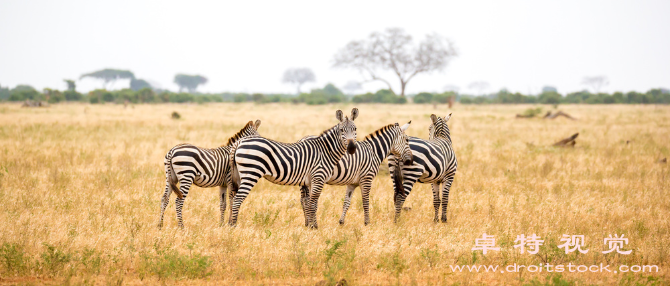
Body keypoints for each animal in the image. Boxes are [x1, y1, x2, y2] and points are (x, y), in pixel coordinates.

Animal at [228, 108, 360, 229]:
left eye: (355, 129)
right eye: (342, 130)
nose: (352, 148)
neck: (326, 151)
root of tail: (239, 142)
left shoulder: (312, 181)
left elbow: (312, 203)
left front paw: (312, 225)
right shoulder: (318, 177)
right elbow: (313, 204)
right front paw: (313, 228)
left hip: (238, 176)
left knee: (232, 198)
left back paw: (230, 224)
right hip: (251, 173)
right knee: (237, 199)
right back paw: (234, 227)